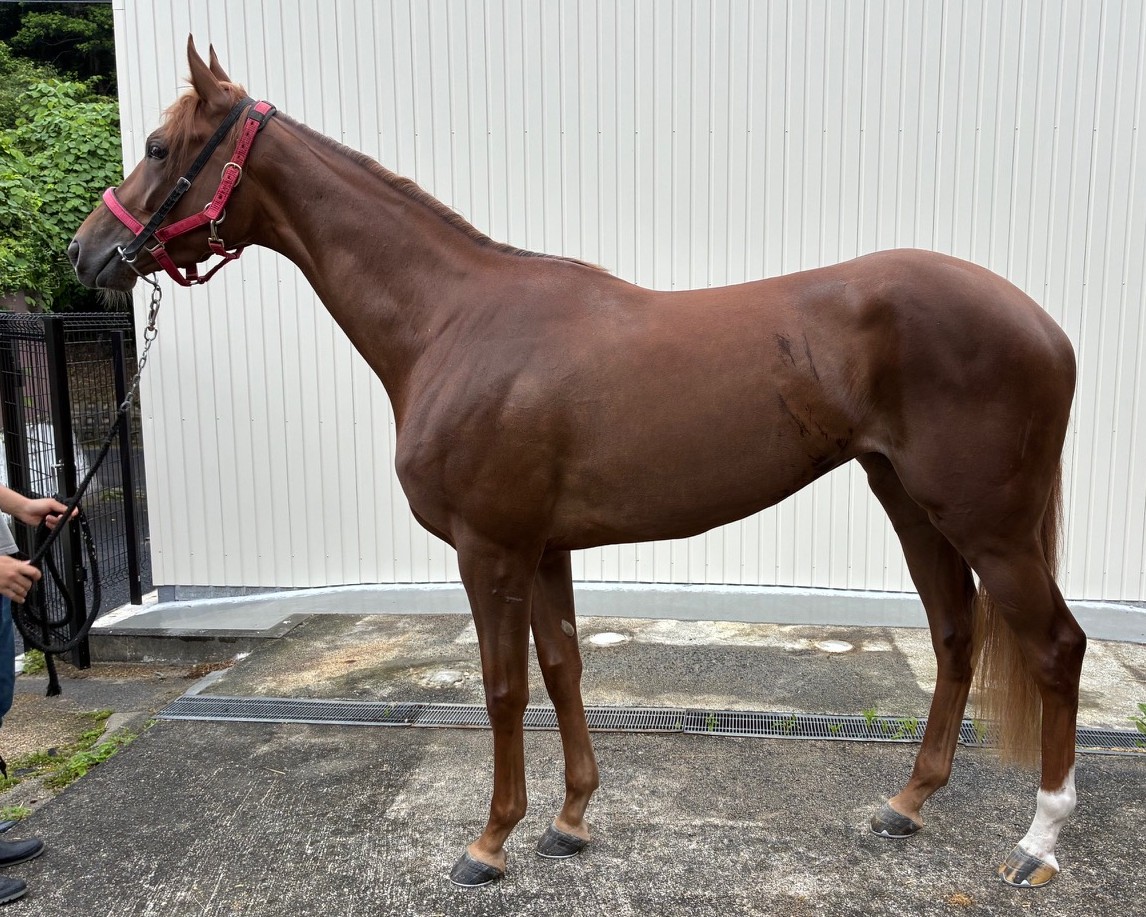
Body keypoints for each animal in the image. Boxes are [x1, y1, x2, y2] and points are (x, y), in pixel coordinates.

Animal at [69, 39, 1085, 889]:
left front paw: (489, 842)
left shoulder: (488, 548)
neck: (453, 320)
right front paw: (569, 820)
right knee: (954, 634)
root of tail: (1045, 325)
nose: (88, 252)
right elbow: (562, 668)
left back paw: (1036, 843)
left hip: (989, 524)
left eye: (158, 147)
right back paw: (906, 803)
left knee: (1054, 647)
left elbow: (503, 687)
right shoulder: (545, 545)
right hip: (911, 502)